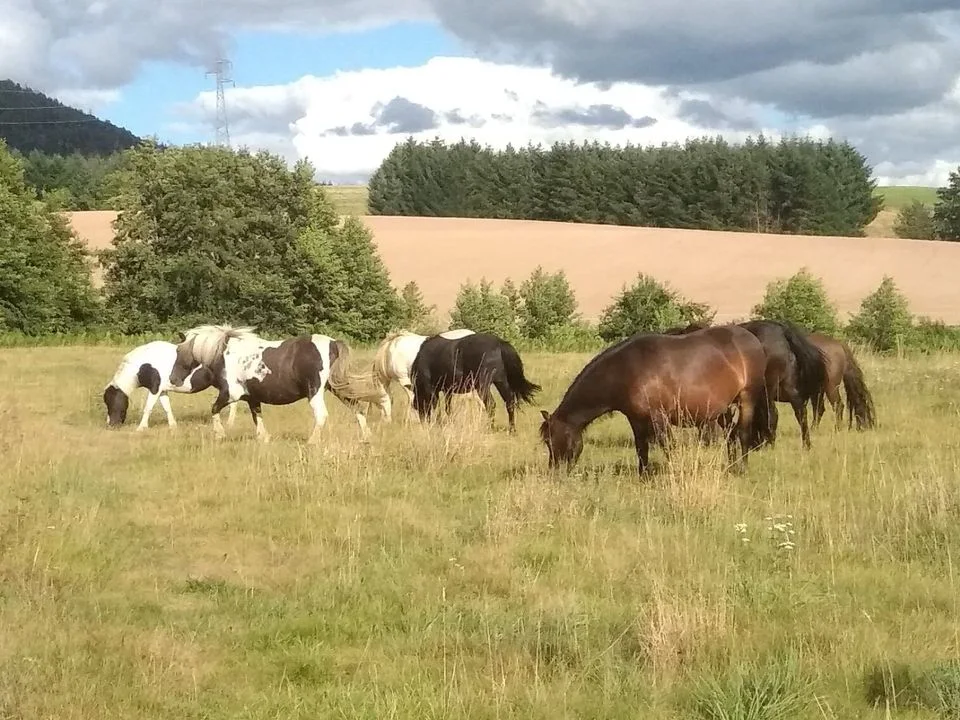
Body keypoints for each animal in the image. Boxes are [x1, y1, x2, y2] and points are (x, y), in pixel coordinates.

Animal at [103, 340, 241, 431]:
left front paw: (141, 428)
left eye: (111, 401)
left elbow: (148, 408)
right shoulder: (162, 391)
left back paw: (229, 424)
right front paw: (173, 426)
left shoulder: (155, 389)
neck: (144, 364)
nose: (111, 425)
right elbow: (167, 408)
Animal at [168, 324, 389, 443]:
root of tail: (333, 343)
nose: (172, 380)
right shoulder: (251, 397)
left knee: (322, 414)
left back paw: (312, 441)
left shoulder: (231, 393)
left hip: (315, 391)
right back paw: (366, 437)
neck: (222, 355)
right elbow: (257, 416)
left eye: (180, 353)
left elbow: (214, 409)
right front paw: (263, 438)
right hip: (336, 387)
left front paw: (220, 434)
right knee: (357, 407)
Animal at [410, 331, 541, 433]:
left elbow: (437, 407)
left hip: (483, 385)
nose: (423, 423)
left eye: (418, 406)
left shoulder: (431, 389)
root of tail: (499, 343)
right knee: (509, 402)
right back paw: (512, 429)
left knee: (491, 405)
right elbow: (448, 408)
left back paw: (490, 428)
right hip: (501, 382)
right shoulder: (447, 390)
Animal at [538, 325, 770, 475]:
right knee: (730, 435)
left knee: (742, 433)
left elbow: (668, 446)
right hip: (722, 408)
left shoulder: (659, 417)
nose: (554, 473)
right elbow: (641, 447)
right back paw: (731, 467)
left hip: (746, 398)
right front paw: (643, 476)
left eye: (552, 440)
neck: (626, 370)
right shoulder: (636, 419)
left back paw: (741, 469)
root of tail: (752, 339)